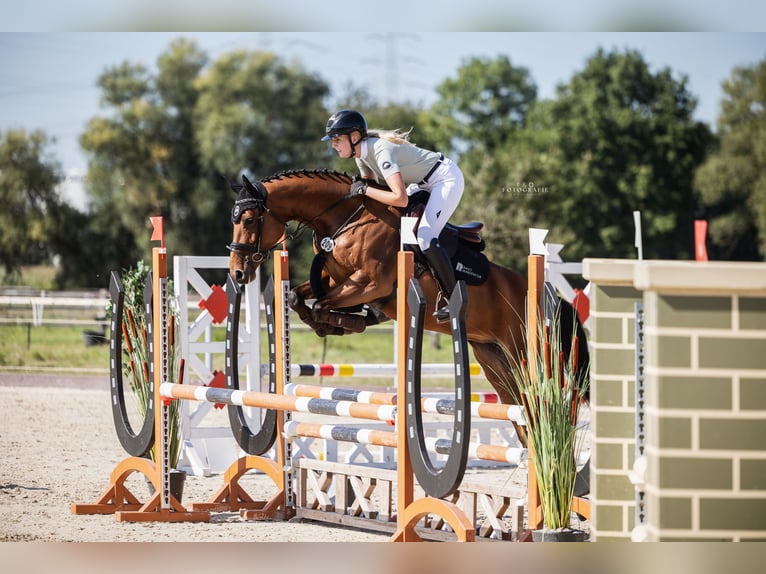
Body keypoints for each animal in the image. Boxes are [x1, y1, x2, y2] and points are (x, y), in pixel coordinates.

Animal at [225, 170, 592, 410]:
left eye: (249, 220)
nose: (238, 272)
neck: (346, 217)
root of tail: (552, 299)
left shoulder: (370, 283)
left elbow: (319, 305)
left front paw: (345, 321)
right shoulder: (335, 279)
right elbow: (297, 297)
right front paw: (340, 322)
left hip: (524, 351)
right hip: (494, 359)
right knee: (518, 409)